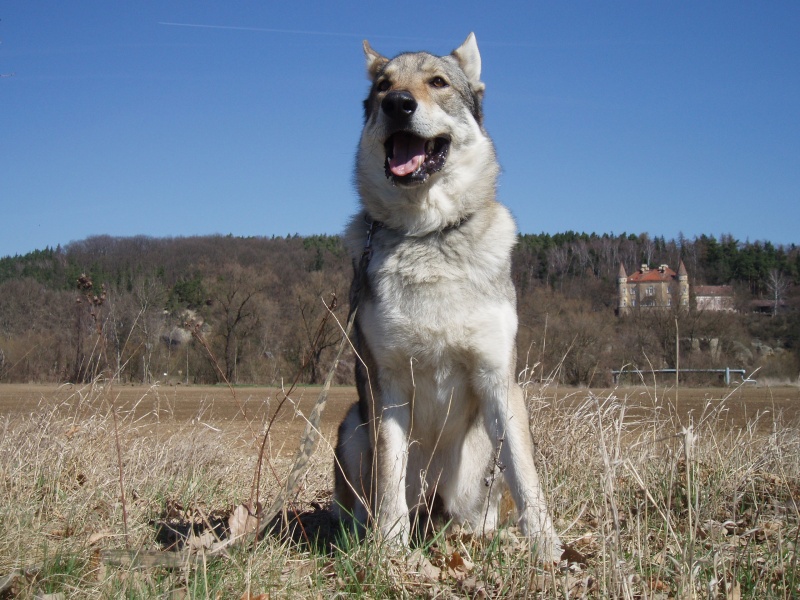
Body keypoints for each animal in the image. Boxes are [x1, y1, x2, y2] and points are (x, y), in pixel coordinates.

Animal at [332, 31, 564, 556]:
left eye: (437, 82)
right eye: (383, 86)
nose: (398, 104)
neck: (428, 235)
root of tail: (434, 506)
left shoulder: (499, 379)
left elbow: (528, 480)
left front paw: (548, 550)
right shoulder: (387, 384)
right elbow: (389, 478)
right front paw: (390, 552)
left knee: (482, 510)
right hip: (353, 425)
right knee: (363, 506)